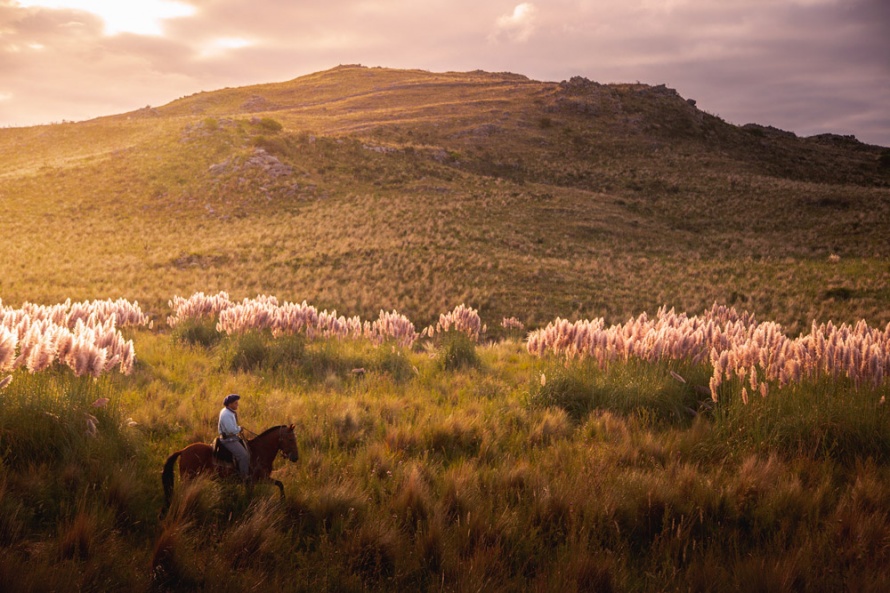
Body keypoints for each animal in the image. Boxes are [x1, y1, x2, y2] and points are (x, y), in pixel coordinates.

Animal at [160, 424, 298, 506]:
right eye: (291, 439)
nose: (296, 457)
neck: (259, 451)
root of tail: (183, 450)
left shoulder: (262, 479)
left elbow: (280, 484)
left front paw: (282, 500)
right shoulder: (257, 480)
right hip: (188, 478)